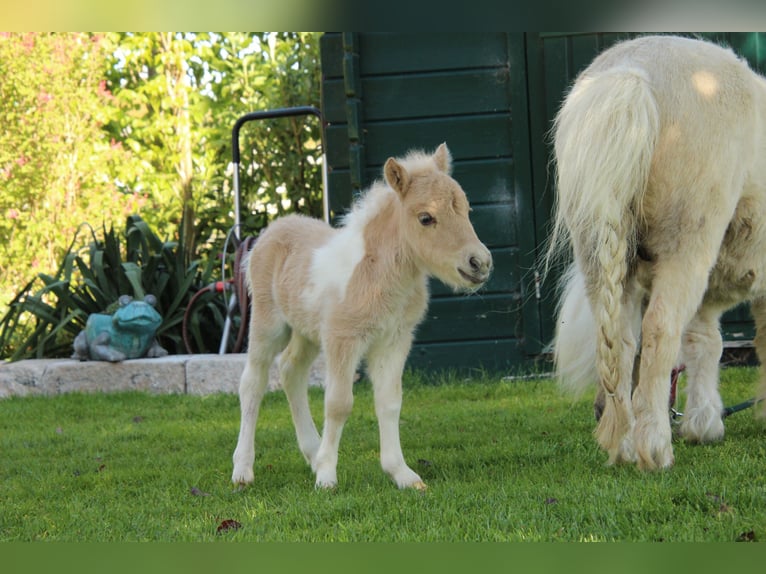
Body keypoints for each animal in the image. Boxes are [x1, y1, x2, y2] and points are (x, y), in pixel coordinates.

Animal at [231, 143, 492, 489]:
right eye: (426, 218)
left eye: (467, 210)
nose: (479, 262)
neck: (379, 272)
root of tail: (272, 230)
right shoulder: (343, 339)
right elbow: (338, 403)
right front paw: (327, 477)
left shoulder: (393, 341)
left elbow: (390, 402)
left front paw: (402, 474)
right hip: (268, 323)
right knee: (253, 382)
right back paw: (243, 470)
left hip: (308, 331)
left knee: (290, 370)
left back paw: (312, 452)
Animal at [548, 35, 766, 471]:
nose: (596, 412)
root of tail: (631, 73)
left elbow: (704, 342)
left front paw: (703, 422)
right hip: (687, 245)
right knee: (659, 330)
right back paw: (654, 446)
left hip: (603, 254)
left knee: (621, 339)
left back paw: (626, 443)